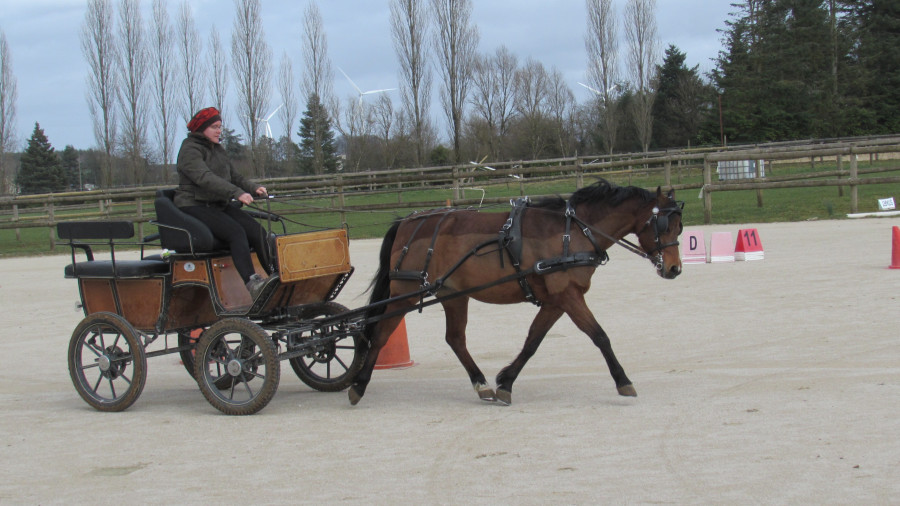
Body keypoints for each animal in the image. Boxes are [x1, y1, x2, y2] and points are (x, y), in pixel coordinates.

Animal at [349, 179, 684, 406]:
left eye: (680, 227)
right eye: (663, 225)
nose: (674, 269)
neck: (573, 231)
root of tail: (407, 221)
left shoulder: (556, 301)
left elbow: (533, 341)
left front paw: (505, 382)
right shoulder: (568, 296)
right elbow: (600, 336)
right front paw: (623, 380)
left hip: (453, 295)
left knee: (455, 339)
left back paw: (481, 384)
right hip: (405, 293)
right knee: (381, 334)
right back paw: (358, 385)